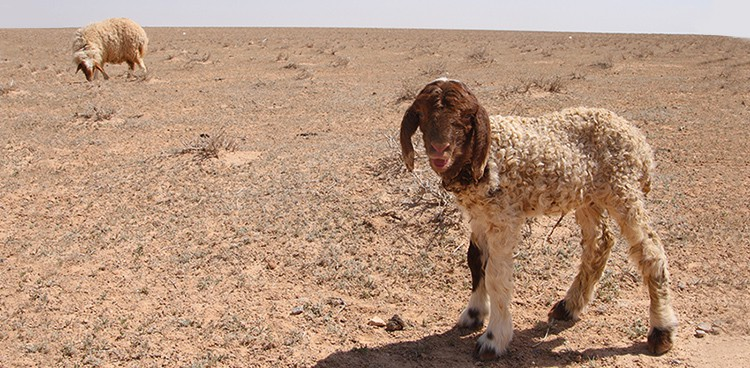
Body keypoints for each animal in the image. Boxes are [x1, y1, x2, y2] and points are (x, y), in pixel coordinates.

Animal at [402, 77, 680, 360]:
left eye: (465, 118)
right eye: (422, 115)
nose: (439, 149)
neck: (485, 158)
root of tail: (640, 142)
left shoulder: (504, 217)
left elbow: (496, 276)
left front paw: (494, 338)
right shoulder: (480, 215)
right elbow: (475, 261)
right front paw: (474, 313)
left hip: (623, 188)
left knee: (650, 251)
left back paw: (661, 331)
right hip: (588, 196)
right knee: (600, 242)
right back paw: (569, 306)